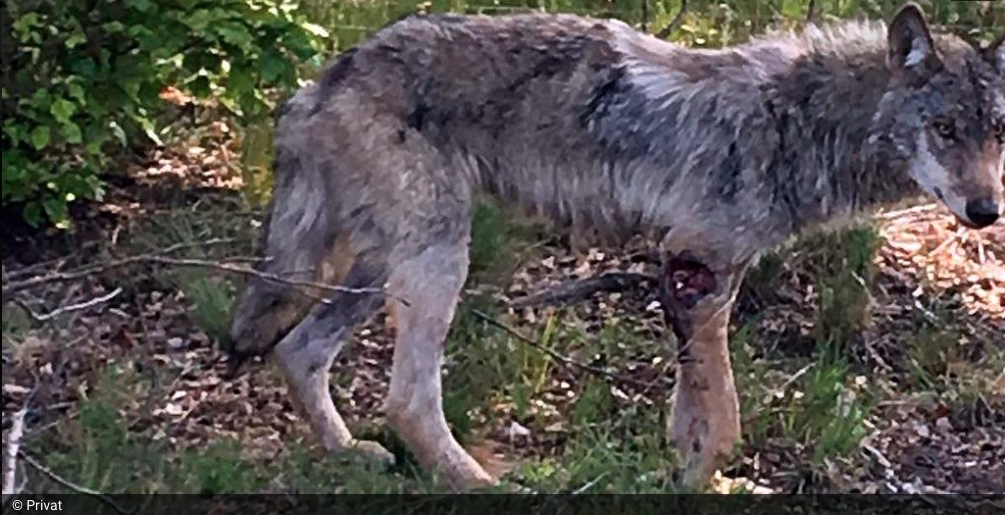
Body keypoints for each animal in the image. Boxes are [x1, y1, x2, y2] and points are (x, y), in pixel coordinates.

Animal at [229, 3, 1004, 489]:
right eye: (943, 129)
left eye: (996, 133)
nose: (986, 211)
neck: (796, 120)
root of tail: (319, 82)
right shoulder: (692, 264)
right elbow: (725, 419)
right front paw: (697, 482)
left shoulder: (705, 281)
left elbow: (694, 414)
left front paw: (692, 479)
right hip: (437, 262)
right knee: (407, 401)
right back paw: (481, 486)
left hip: (380, 269)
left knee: (299, 350)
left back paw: (346, 453)